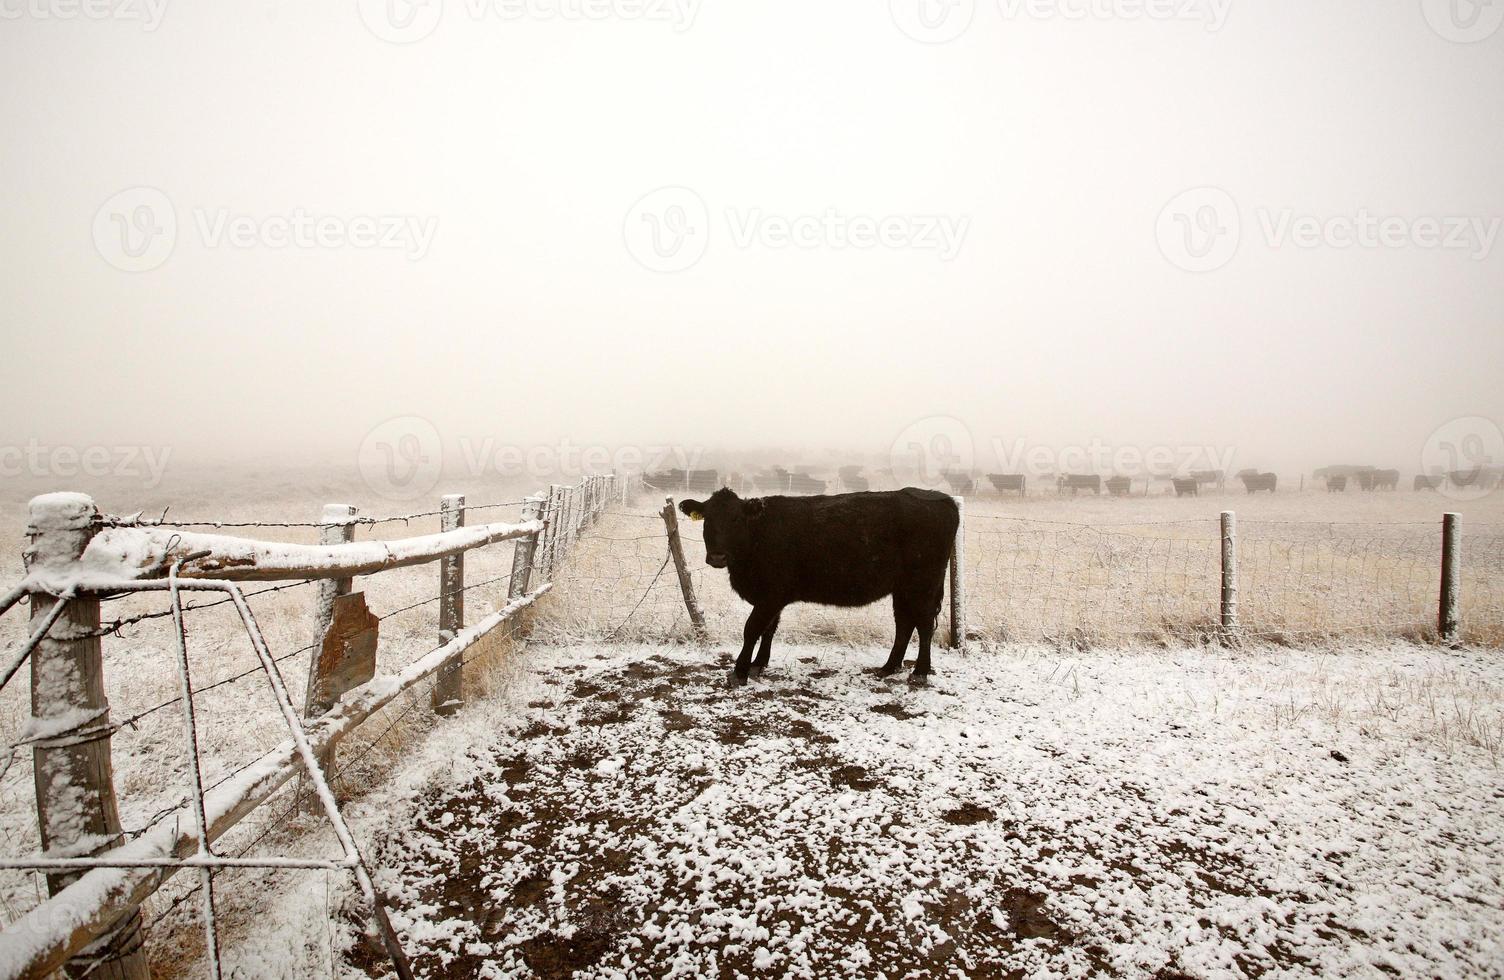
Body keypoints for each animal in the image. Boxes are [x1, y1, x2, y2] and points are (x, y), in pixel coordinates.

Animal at [679, 486, 956, 685]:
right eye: (707, 520)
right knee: (904, 624)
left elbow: (752, 629)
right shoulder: (773, 597)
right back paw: (888, 667)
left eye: (736, 519)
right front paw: (759, 664)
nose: (717, 557)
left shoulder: (770, 595)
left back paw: (919, 672)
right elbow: (769, 629)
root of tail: (943, 498)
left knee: (923, 625)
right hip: (903, 589)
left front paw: (740, 671)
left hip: (922, 585)